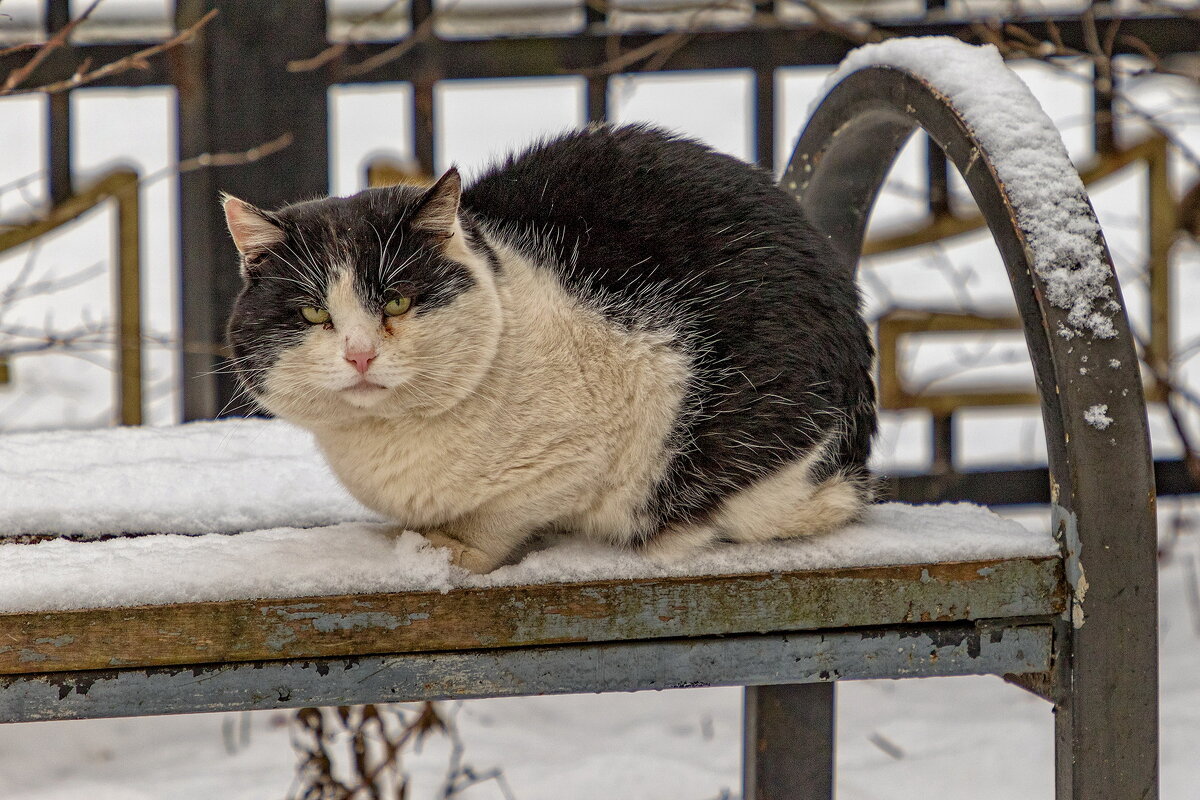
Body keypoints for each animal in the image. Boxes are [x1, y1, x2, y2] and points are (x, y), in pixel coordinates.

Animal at [225, 123, 878, 568]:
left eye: (397, 303)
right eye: (314, 313)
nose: (359, 354)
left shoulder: (619, 407)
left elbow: (505, 515)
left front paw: (453, 552)